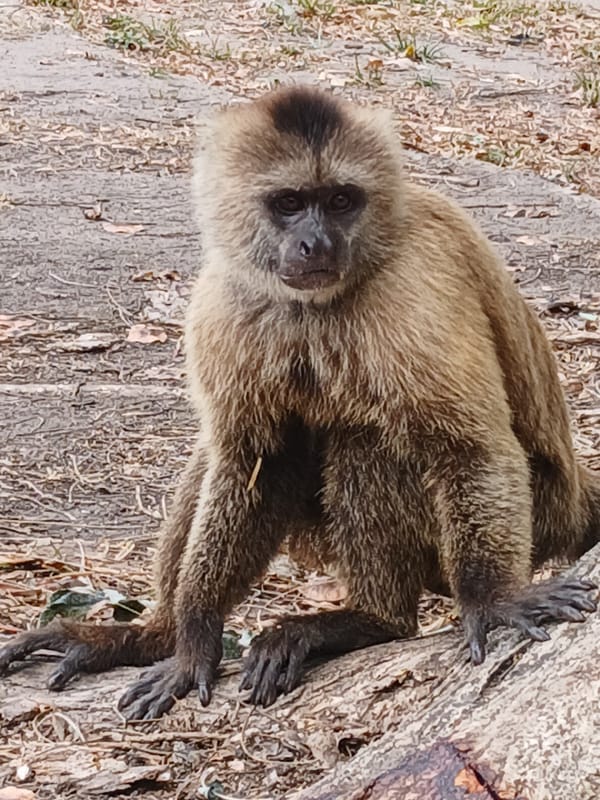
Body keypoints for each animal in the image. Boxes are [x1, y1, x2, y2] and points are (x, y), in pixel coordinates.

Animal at [1, 86, 598, 719]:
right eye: (289, 203)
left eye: (340, 201)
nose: (317, 242)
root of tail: (572, 498)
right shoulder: (223, 302)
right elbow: (253, 463)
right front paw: (193, 641)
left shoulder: (408, 292)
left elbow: (471, 448)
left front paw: (495, 600)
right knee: (229, 453)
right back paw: (155, 633)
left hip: (540, 512)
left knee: (367, 436)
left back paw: (377, 620)